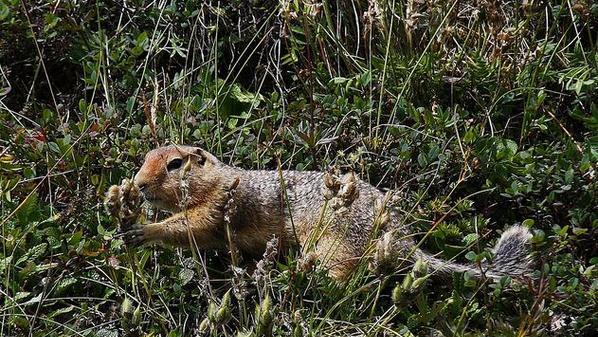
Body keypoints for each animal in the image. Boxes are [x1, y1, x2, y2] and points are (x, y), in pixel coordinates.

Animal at [108, 146, 536, 280]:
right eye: (147, 157)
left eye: (175, 164)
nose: (138, 183)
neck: (219, 178)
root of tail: (402, 241)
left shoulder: (218, 204)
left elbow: (190, 225)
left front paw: (143, 230)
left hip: (338, 244)